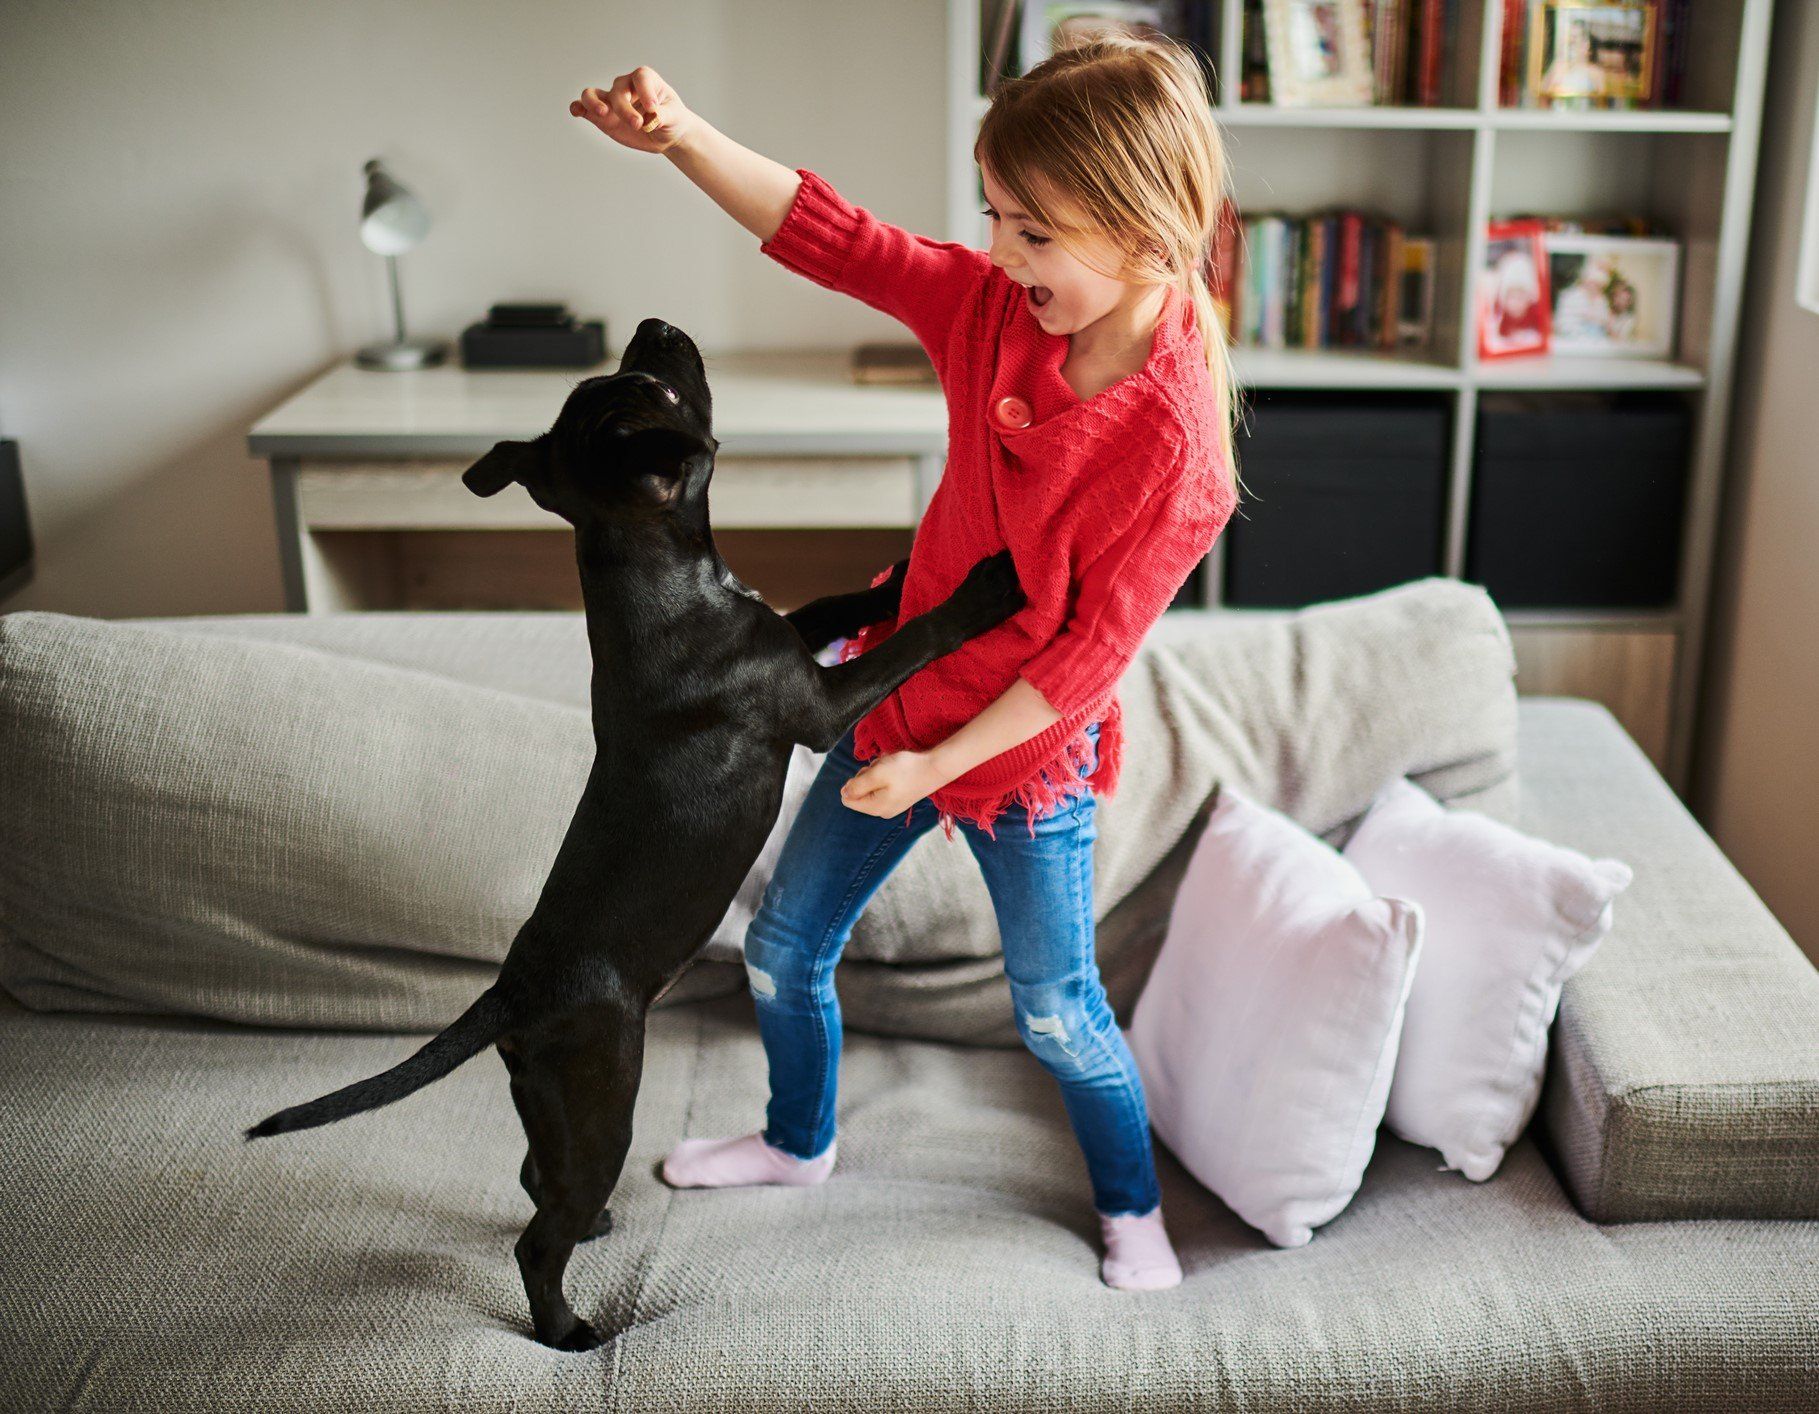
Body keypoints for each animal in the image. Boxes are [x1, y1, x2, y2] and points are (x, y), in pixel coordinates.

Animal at [243, 316, 1026, 1351]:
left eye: (621, 379)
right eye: (653, 388)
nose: (655, 327)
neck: (657, 576)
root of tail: (511, 993)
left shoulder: (793, 633)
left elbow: (837, 608)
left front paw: (891, 573)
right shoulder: (819, 707)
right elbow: (912, 640)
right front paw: (980, 591)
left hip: (551, 1107)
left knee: (537, 1180)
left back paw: (593, 1235)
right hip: (602, 1103)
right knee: (538, 1235)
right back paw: (567, 1329)